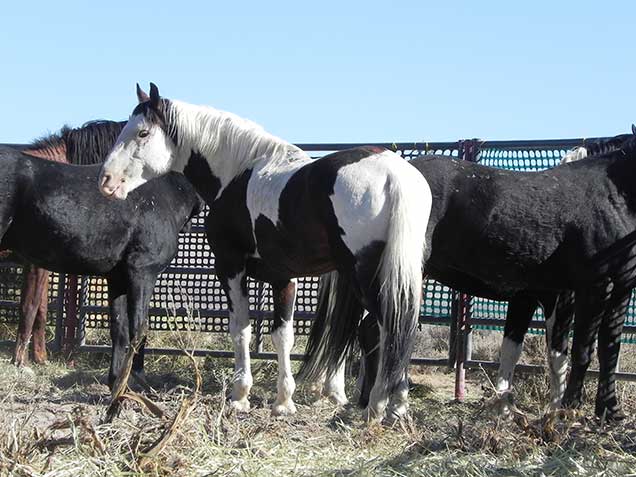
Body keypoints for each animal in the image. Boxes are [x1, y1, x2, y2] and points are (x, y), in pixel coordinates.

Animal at [0, 119, 201, 386]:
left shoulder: (117, 278)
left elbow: (120, 329)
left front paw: (116, 380)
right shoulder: (142, 273)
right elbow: (139, 328)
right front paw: (137, 382)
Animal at [97, 82, 430, 420]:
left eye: (142, 133)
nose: (106, 181)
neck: (237, 173)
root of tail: (394, 174)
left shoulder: (230, 268)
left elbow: (241, 329)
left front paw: (240, 395)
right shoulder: (284, 277)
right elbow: (283, 336)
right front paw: (283, 402)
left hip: (367, 277)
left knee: (385, 330)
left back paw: (376, 406)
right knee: (402, 330)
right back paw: (397, 405)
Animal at [304, 132, 636, 418]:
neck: (609, 195)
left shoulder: (578, 292)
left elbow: (595, 349)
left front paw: (604, 411)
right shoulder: (587, 290)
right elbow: (575, 352)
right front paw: (566, 410)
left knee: (378, 333)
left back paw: (372, 401)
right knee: (381, 332)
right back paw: (387, 404)